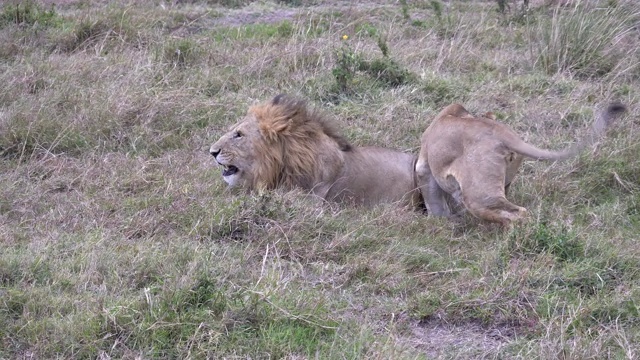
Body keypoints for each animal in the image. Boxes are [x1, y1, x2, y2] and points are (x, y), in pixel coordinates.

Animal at [418, 102, 628, 225]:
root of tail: (502, 132)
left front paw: (440, 221)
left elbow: (433, 197)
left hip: (479, 196)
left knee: (519, 212)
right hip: (501, 183)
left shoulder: (423, 166)